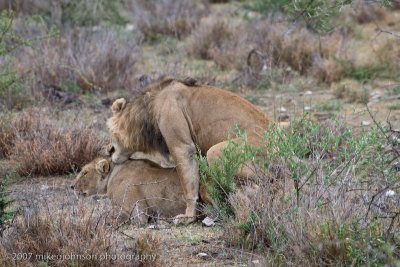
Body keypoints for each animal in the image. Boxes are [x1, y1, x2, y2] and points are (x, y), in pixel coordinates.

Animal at [104, 76, 272, 225]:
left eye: (110, 131)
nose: (109, 150)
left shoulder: (181, 146)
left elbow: (188, 187)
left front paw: (188, 217)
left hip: (215, 152)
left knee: (254, 189)